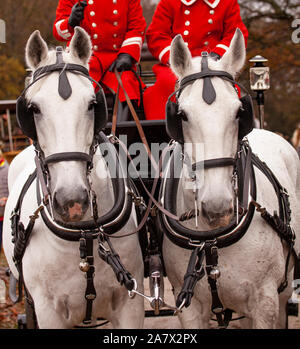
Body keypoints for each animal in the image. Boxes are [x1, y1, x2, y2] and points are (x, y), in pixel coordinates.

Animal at [2, 27, 144, 328]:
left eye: (92, 104)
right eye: (33, 108)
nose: (72, 201)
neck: (84, 233)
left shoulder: (130, 305)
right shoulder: (47, 311)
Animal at [163, 29, 300, 326]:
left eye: (239, 111)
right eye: (182, 115)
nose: (217, 206)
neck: (211, 239)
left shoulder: (265, 303)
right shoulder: (189, 307)